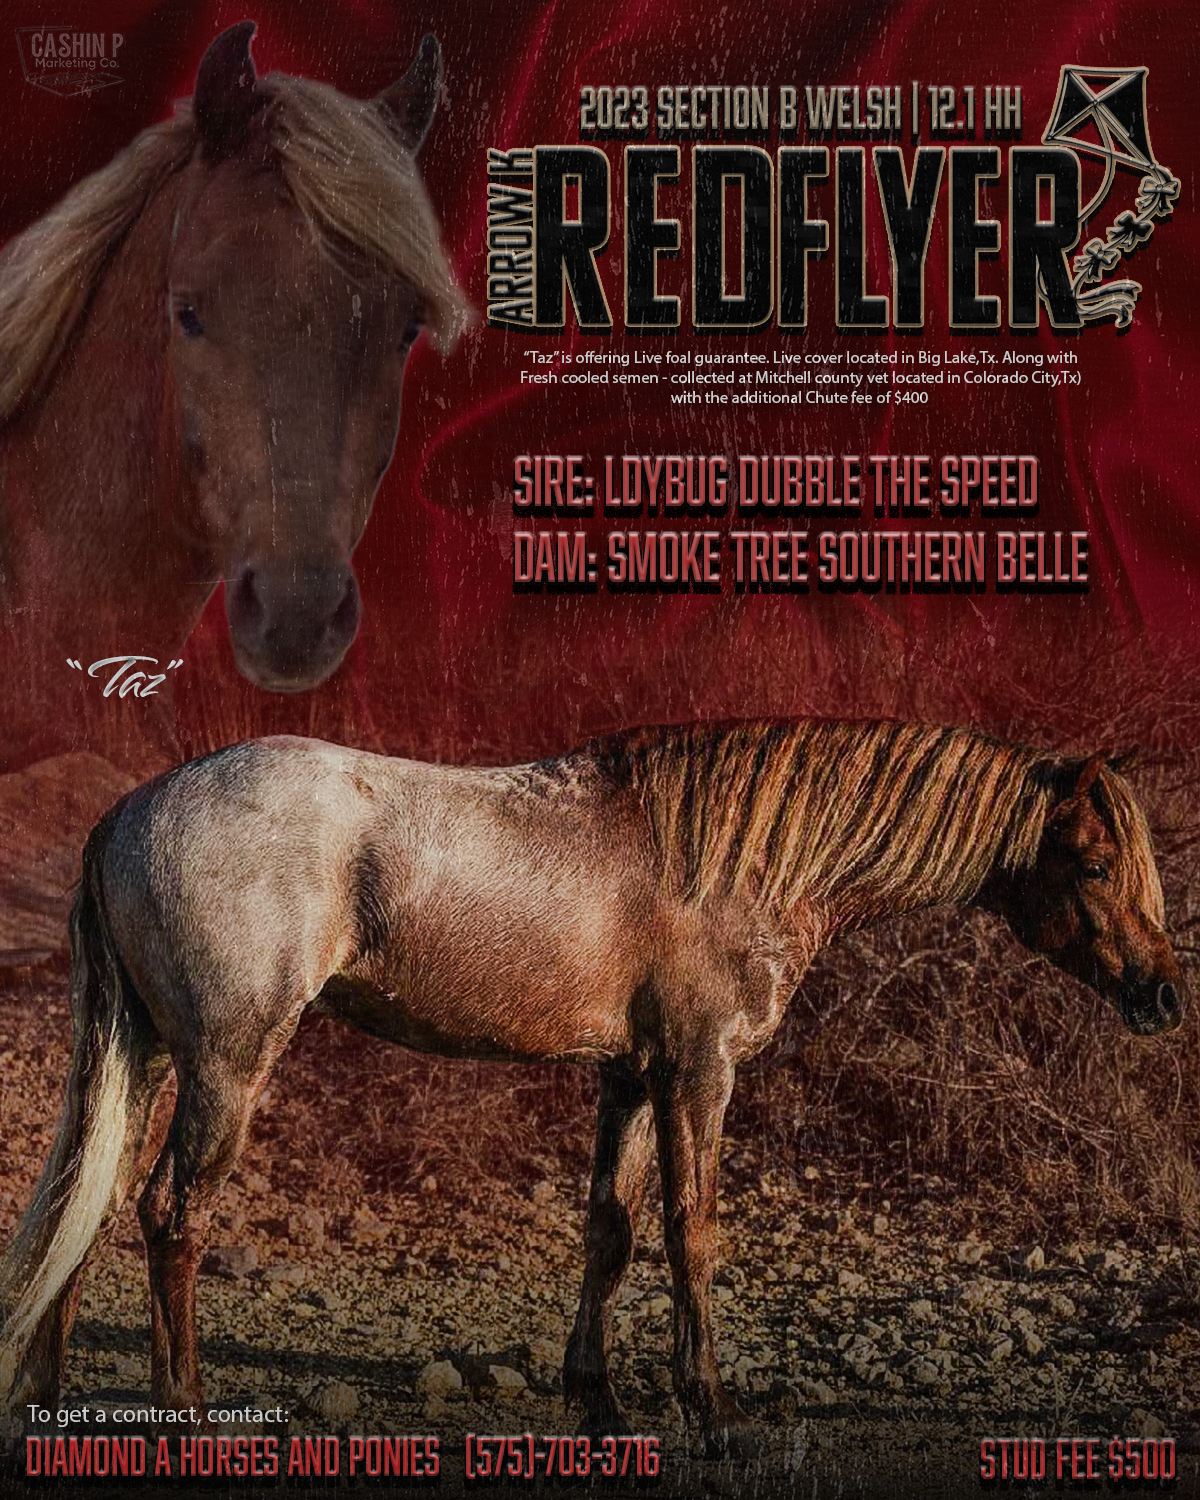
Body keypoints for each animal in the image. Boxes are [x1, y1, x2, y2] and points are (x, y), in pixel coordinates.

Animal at [0, 720, 1184, 1456]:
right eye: (1091, 864)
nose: (1165, 997)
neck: (739, 860)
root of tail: (131, 813)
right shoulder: (700, 1071)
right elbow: (692, 1229)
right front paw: (712, 1416)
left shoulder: (628, 1076)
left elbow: (609, 1231)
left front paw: (602, 1408)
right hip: (228, 1064)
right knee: (170, 1216)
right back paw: (186, 1409)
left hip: (151, 1058)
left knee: (89, 1210)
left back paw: (52, 1410)